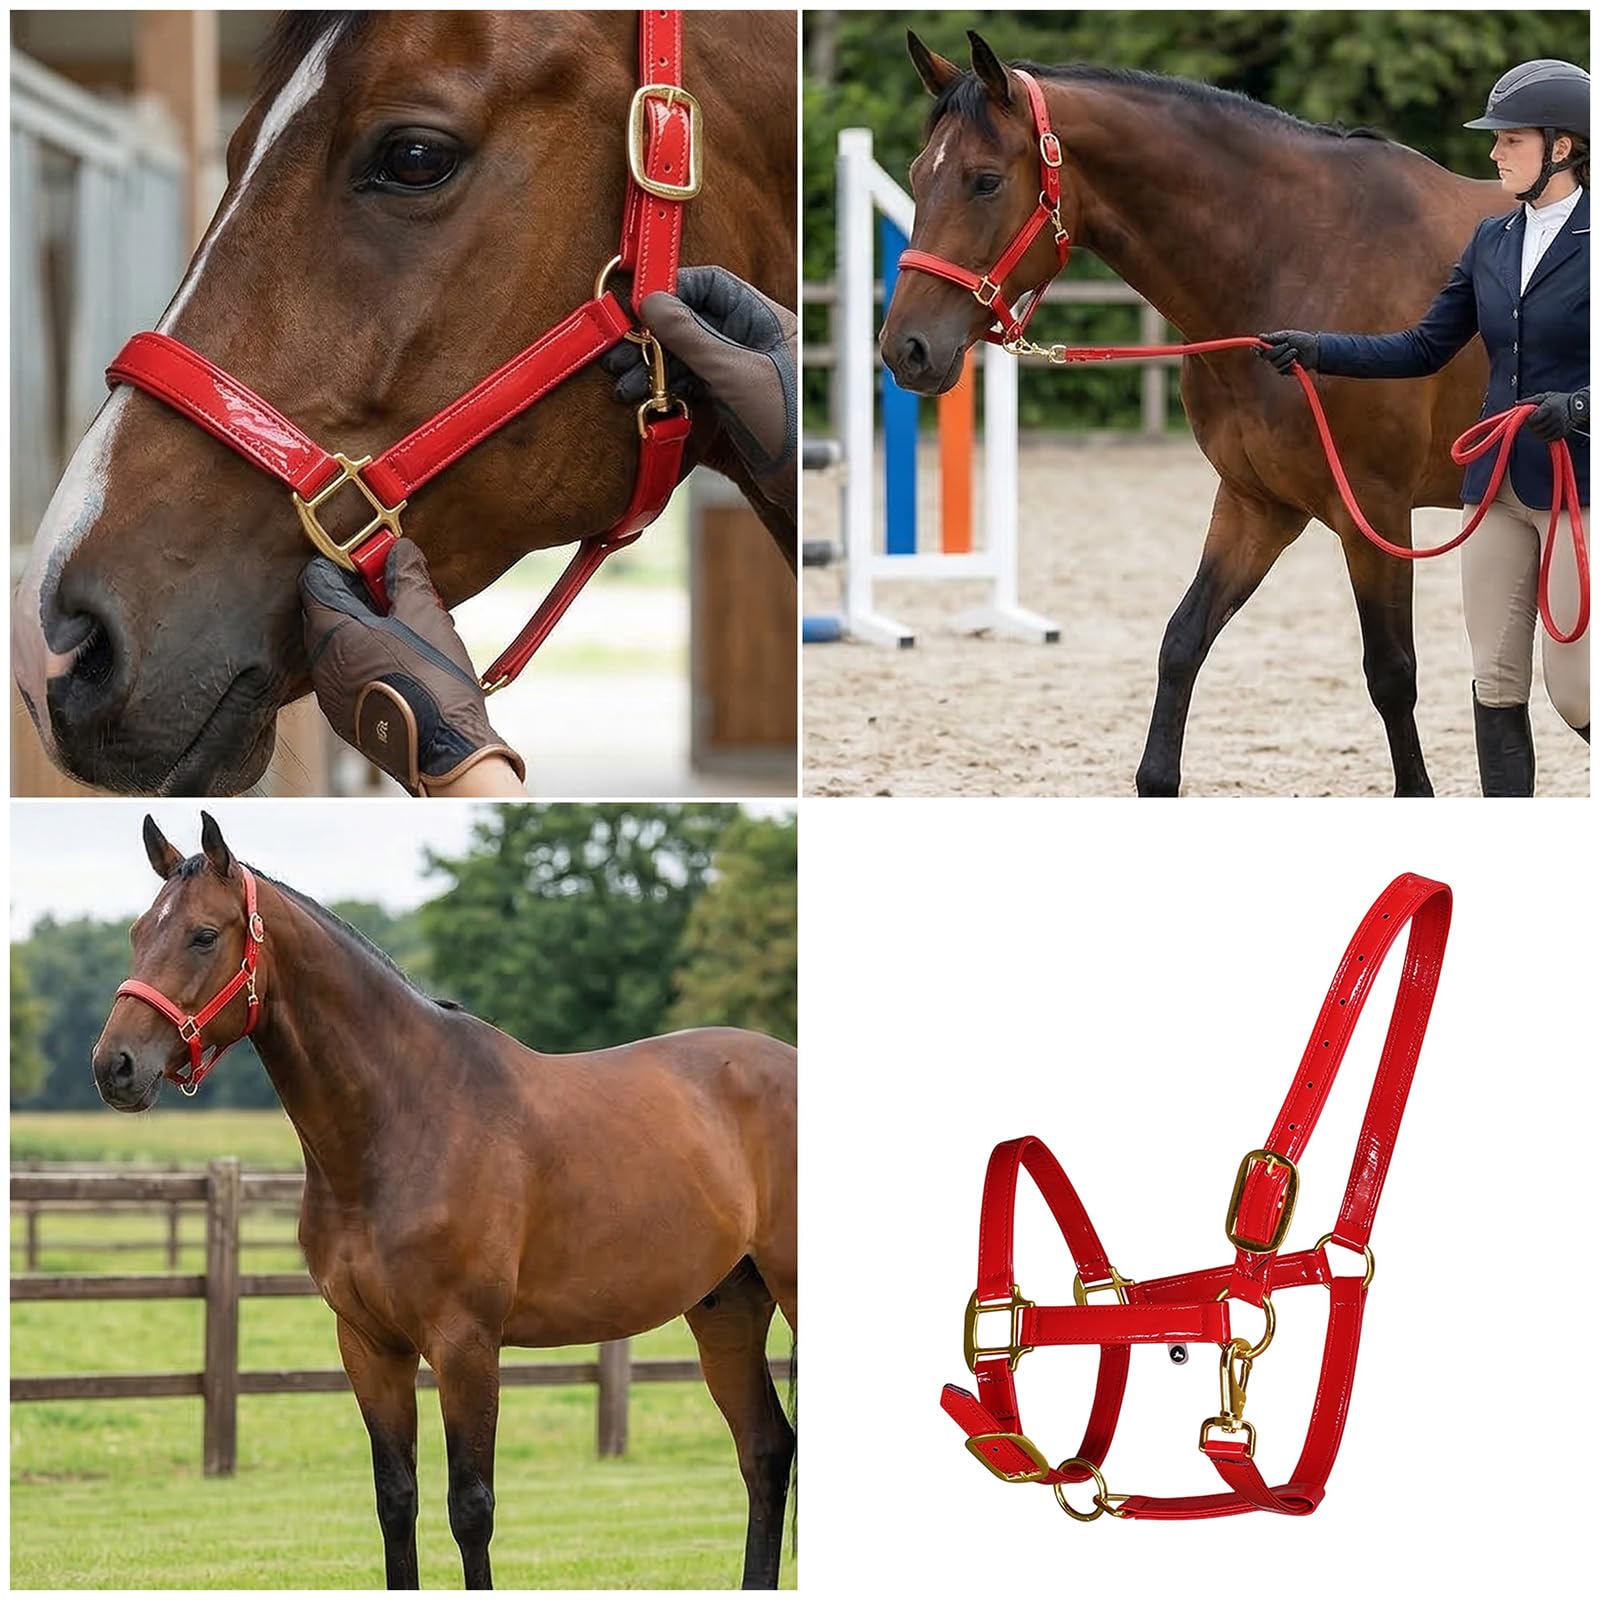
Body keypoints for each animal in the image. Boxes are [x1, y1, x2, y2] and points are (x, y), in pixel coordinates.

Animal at [91, 813, 797, 1590]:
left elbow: (471, 1507)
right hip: (727, 1306)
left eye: (203, 936)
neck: (406, 1119)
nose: (114, 1066)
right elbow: (396, 1499)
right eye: (136, 933)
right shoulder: (369, 1345)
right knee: (765, 1452)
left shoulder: (466, 1345)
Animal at [881, 32, 1511, 797]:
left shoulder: (1375, 513)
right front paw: (1157, 775)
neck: (1302, 258)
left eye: (984, 181)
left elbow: (1391, 674)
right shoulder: (1257, 505)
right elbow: (1182, 642)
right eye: (918, 176)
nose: (905, 348)